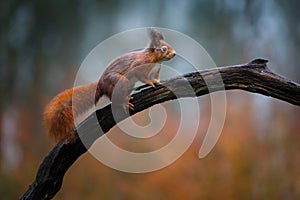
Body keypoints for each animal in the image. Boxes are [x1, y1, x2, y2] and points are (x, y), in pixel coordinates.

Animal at [44, 28, 176, 142]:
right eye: (164, 48)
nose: (174, 53)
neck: (156, 60)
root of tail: (100, 85)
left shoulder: (155, 71)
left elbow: (155, 78)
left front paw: (157, 82)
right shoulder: (141, 66)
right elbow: (143, 77)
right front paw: (150, 83)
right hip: (121, 81)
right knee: (114, 99)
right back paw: (124, 102)